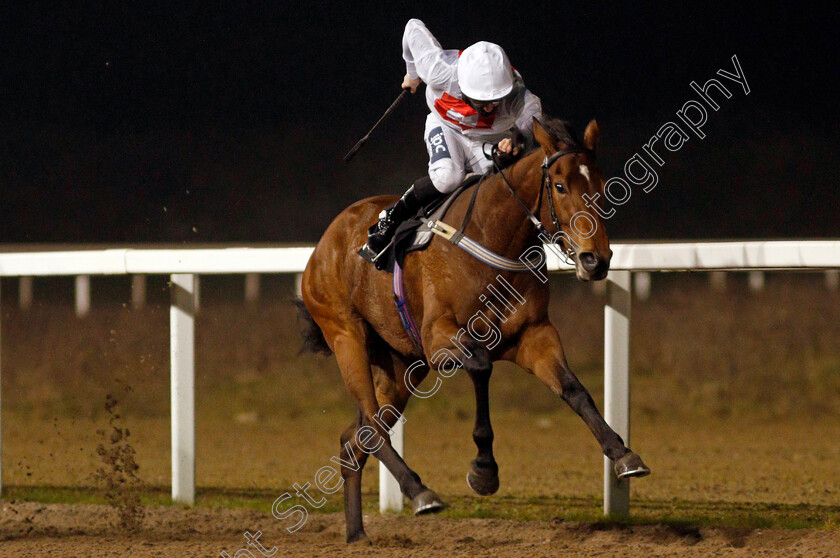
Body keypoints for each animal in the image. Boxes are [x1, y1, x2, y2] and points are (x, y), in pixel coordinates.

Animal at [298, 119, 652, 548]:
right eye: (561, 185)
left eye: (599, 183)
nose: (595, 259)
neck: (493, 238)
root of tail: (324, 243)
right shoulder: (439, 340)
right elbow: (482, 366)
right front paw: (484, 470)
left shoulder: (533, 335)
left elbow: (574, 389)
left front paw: (623, 453)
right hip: (346, 335)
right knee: (369, 422)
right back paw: (420, 492)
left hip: (401, 366)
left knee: (356, 438)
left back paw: (357, 534)